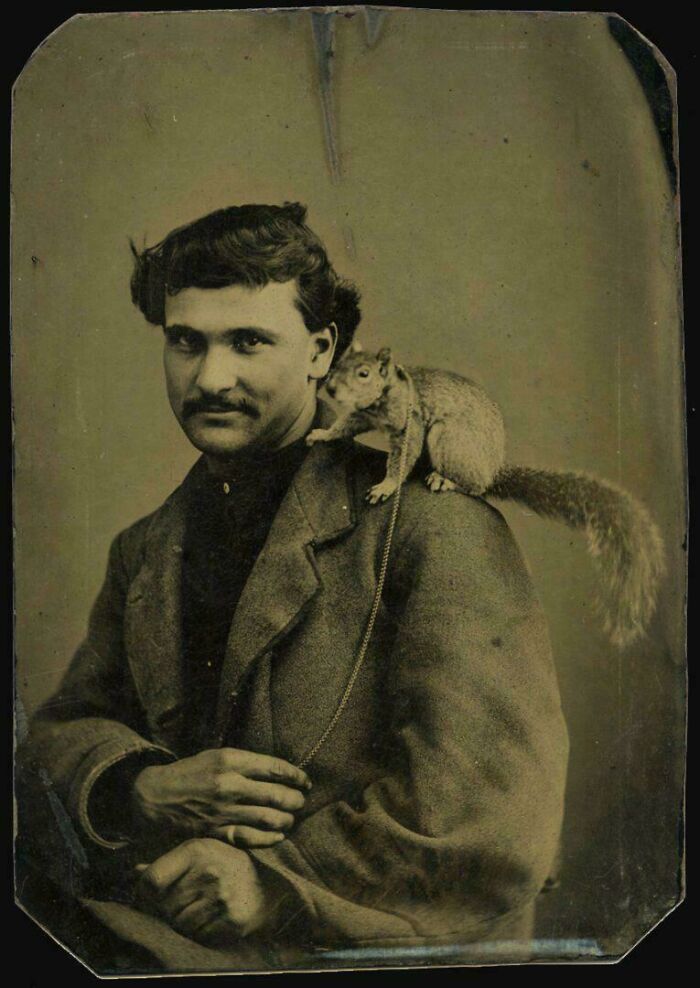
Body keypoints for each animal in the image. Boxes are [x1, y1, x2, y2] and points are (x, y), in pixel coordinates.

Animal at [306, 342, 665, 649]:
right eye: (339, 363)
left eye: (364, 373)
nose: (331, 388)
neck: (386, 393)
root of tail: (492, 470)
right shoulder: (362, 414)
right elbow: (345, 424)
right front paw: (323, 434)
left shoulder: (411, 424)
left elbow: (401, 460)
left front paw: (386, 485)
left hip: (448, 440)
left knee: (475, 487)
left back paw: (445, 480)